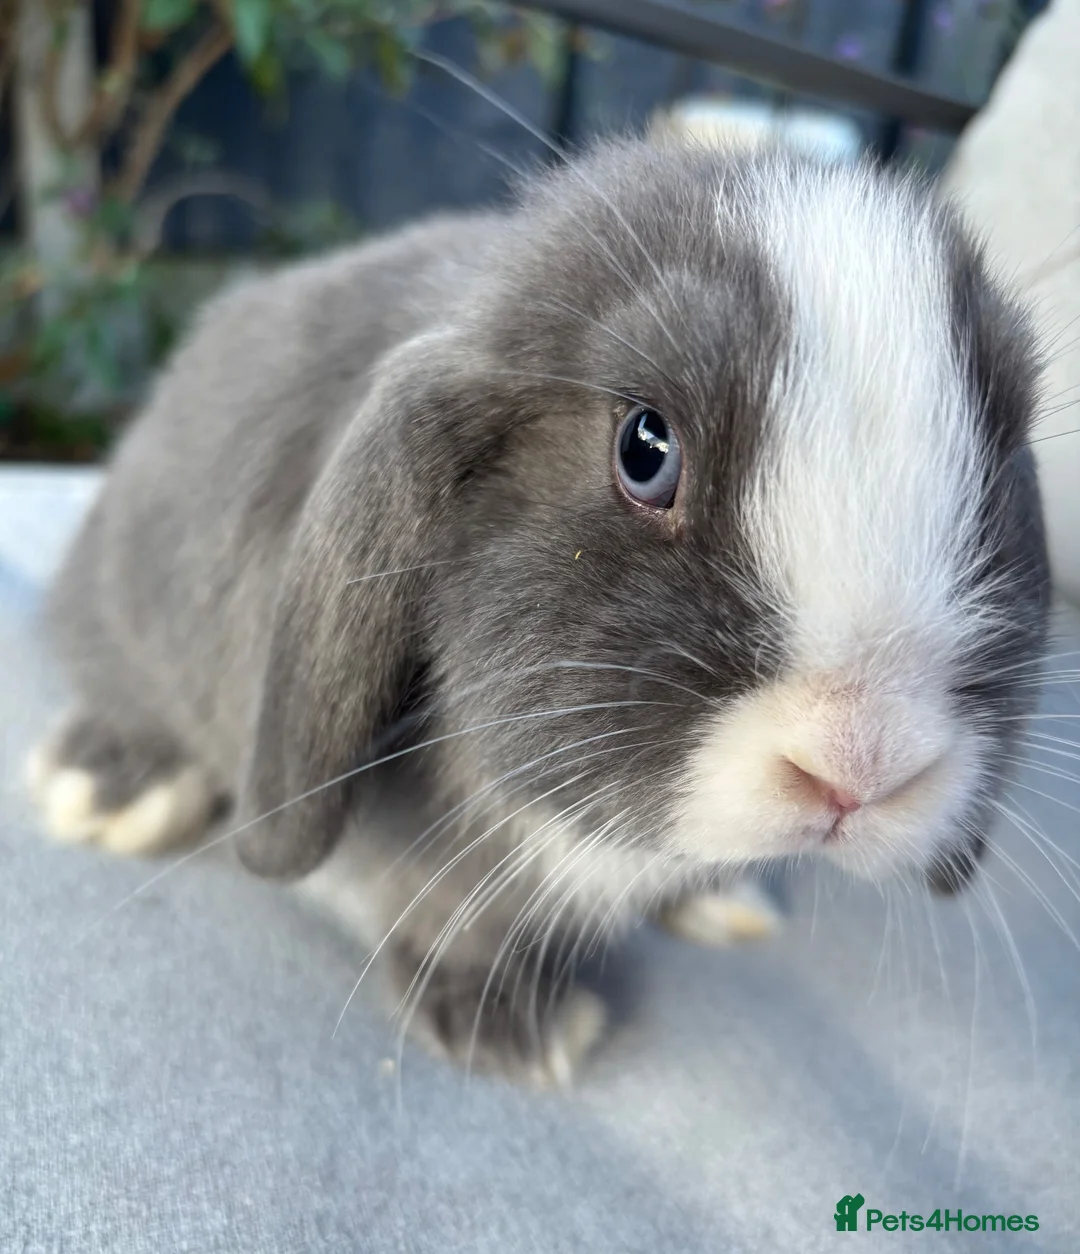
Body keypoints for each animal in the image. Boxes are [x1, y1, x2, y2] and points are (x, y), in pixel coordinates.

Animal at [27, 136, 1051, 1087]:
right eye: (646, 448)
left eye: (996, 465)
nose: (860, 768)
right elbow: (450, 913)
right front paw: (515, 1031)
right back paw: (108, 782)